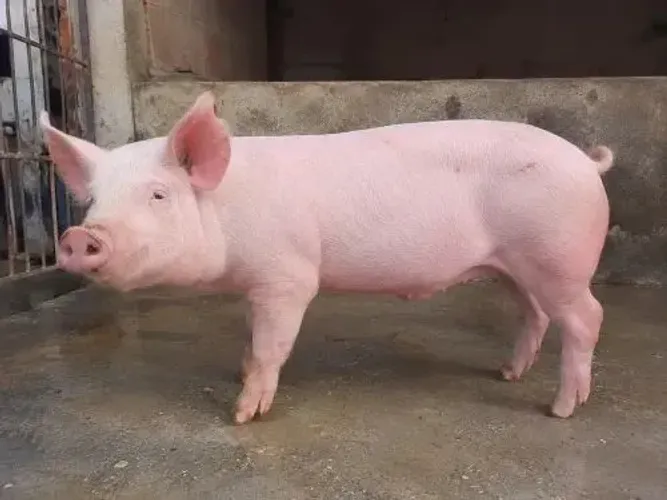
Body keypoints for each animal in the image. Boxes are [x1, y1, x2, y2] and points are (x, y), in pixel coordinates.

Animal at [39, 91, 614, 424]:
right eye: (93, 200)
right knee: (534, 314)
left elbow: (271, 345)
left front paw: (242, 414)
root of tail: (587, 163)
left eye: (158, 194)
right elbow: (251, 336)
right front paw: (239, 372)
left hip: (558, 258)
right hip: (516, 266)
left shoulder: (288, 275)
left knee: (587, 317)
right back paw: (507, 374)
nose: (80, 236)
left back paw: (561, 409)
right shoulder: (255, 283)